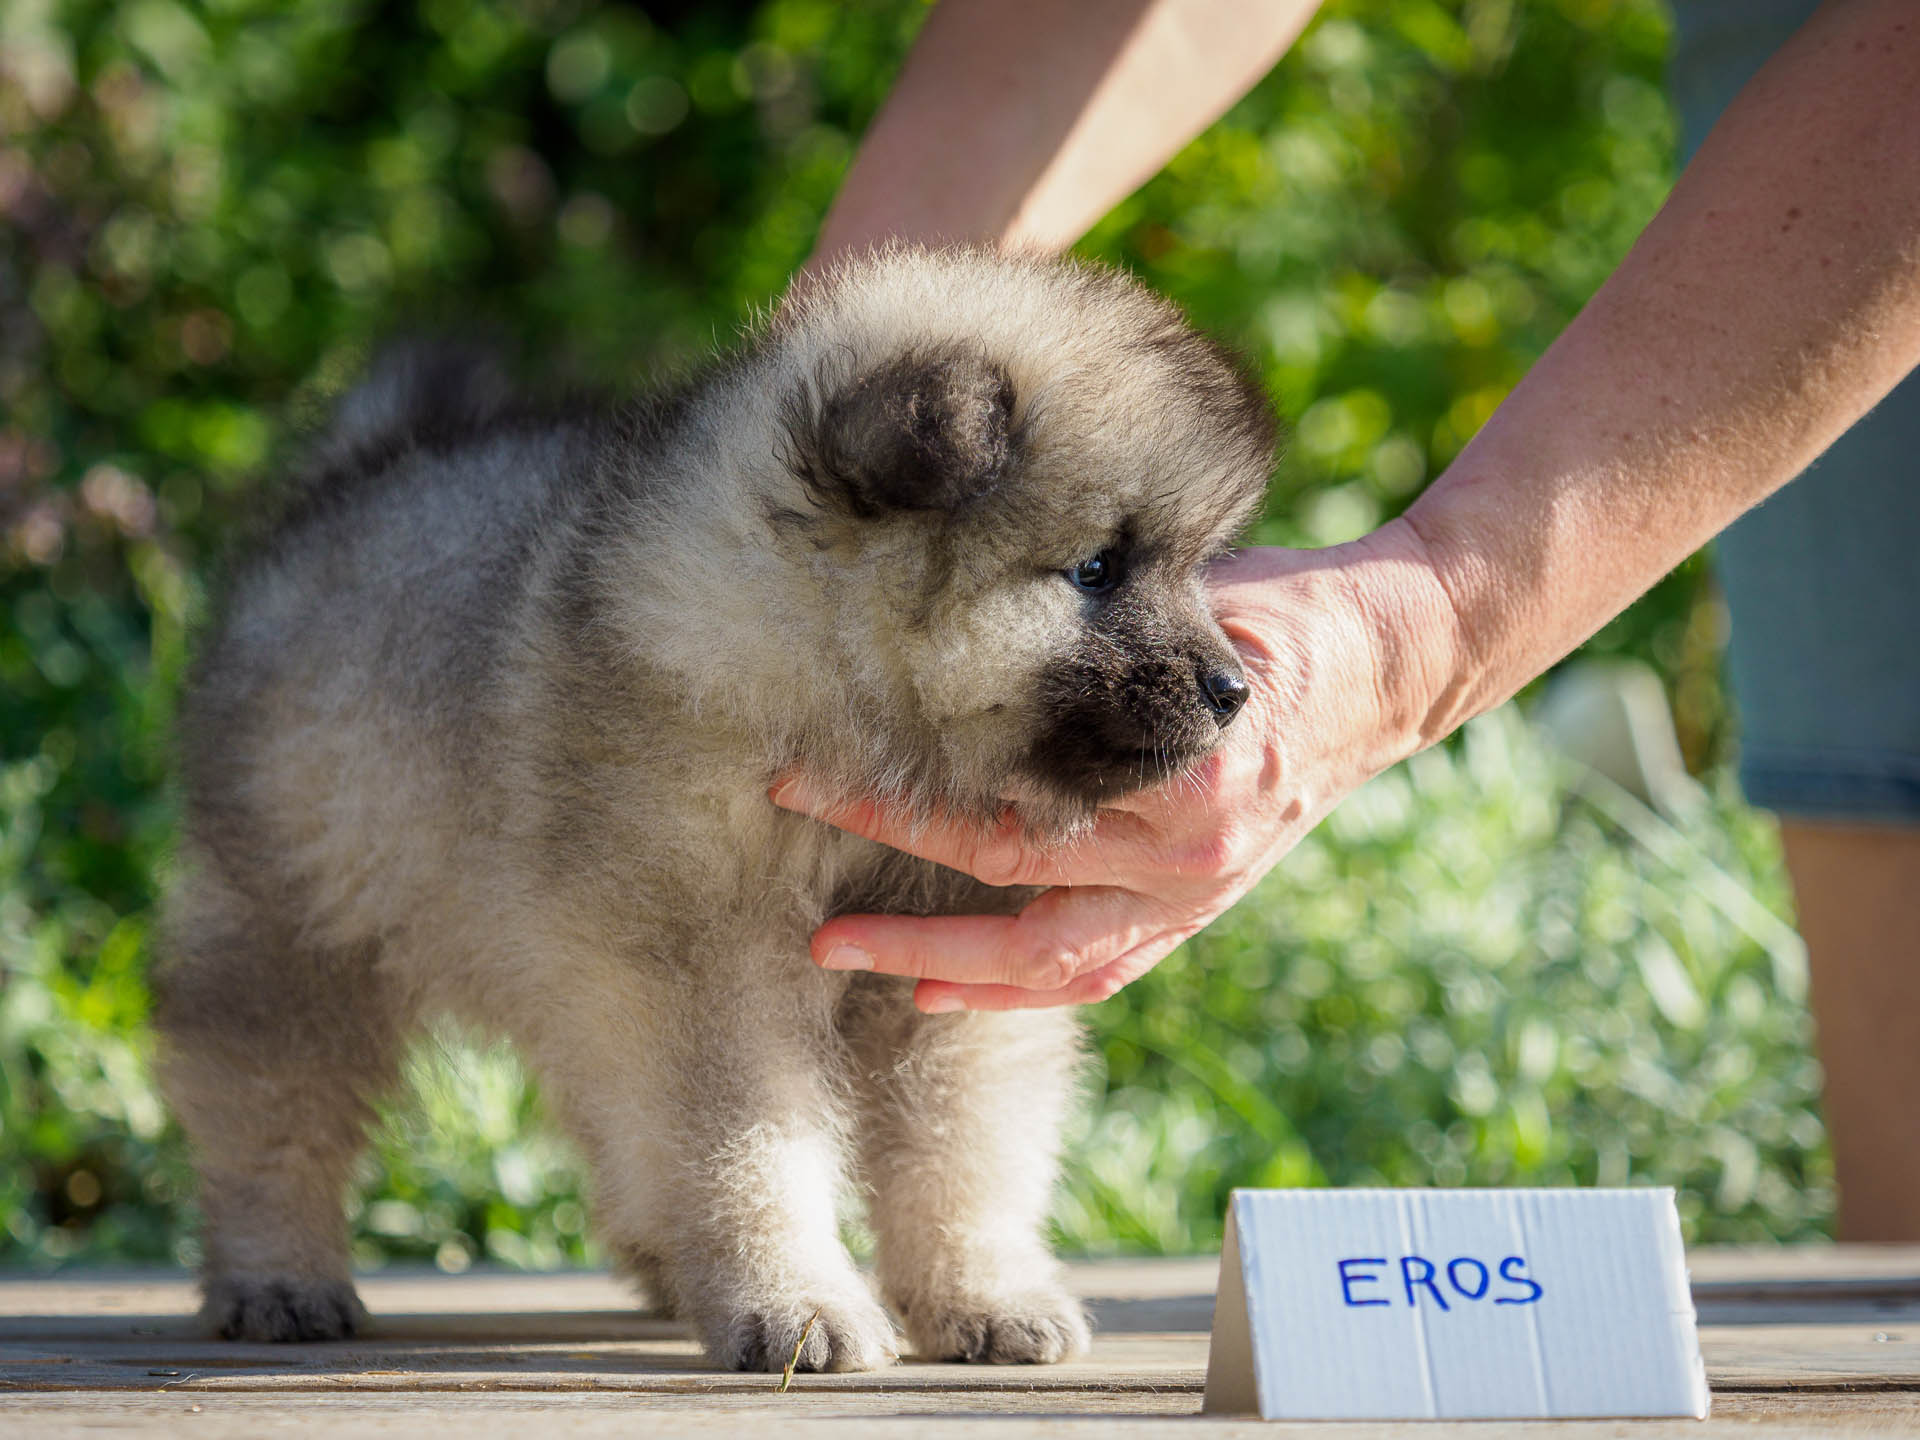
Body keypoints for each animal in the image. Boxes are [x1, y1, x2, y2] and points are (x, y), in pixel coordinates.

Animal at [157, 245, 1274, 1374]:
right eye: (1096, 567)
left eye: (1192, 565)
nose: (1234, 691)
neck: (842, 700)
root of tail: (356, 477)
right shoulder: (704, 970)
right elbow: (752, 1148)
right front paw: (797, 1304)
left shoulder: (951, 973)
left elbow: (963, 1152)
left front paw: (984, 1292)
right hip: (297, 924)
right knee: (267, 1114)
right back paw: (275, 1276)